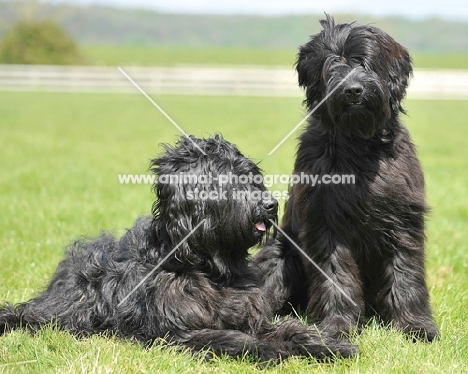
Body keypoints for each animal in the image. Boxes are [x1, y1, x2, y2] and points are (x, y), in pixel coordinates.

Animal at [0, 135, 354, 362]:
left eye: (254, 177)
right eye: (228, 180)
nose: (269, 205)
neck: (208, 267)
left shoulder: (252, 316)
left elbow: (290, 328)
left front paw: (328, 345)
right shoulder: (177, 331)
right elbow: (226, 337)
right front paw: (264, 349)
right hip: (74, 306)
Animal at [254, 14, 436, 342]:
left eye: (364, 61)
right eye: (331, 63)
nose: (353, 90)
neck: (359, 146)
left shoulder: (403, 219)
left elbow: (406, 273)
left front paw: (416, 325)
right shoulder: (325, 222)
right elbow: (335, 274)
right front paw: (337, 325)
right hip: (280, 251)